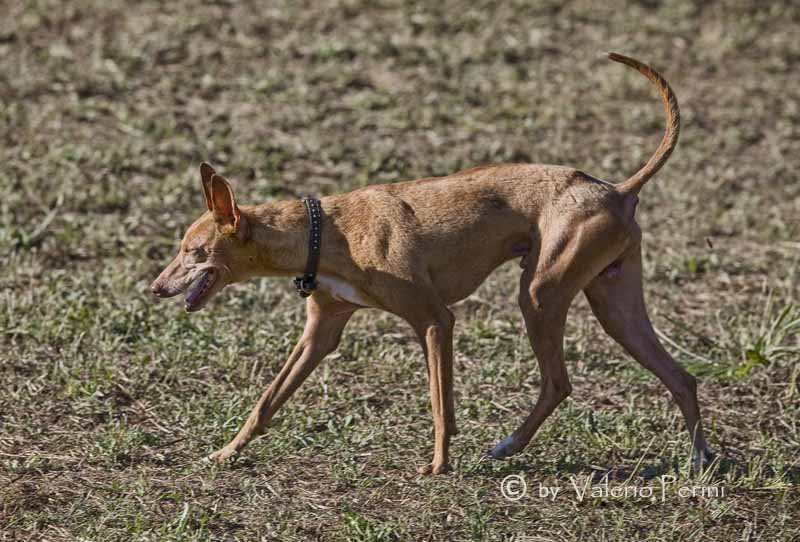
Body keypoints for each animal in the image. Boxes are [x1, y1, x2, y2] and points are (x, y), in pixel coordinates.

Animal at [153, 52, 716, 476]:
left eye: (193, 251)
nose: (157, 288)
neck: (324, 230)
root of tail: (617, 189)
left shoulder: (434, 321)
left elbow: (440, 404)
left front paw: (440, 465)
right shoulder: (321, 331)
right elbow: (267, 400)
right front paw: (226, 452)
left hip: (540, 296)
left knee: (560, 382)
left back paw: (509, 446)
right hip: (615, 306)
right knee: (681, 378)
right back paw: (700, 462)